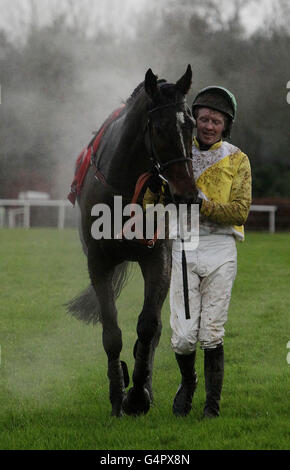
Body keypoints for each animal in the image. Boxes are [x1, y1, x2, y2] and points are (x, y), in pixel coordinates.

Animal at [68, 64, 198, 416]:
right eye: (159, 128)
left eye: (191, 124)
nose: (188, 193)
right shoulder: (99, 262)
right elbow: (111, 332)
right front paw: (117, 396)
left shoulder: (158, 257)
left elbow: (148, 326)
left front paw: (138, 395)